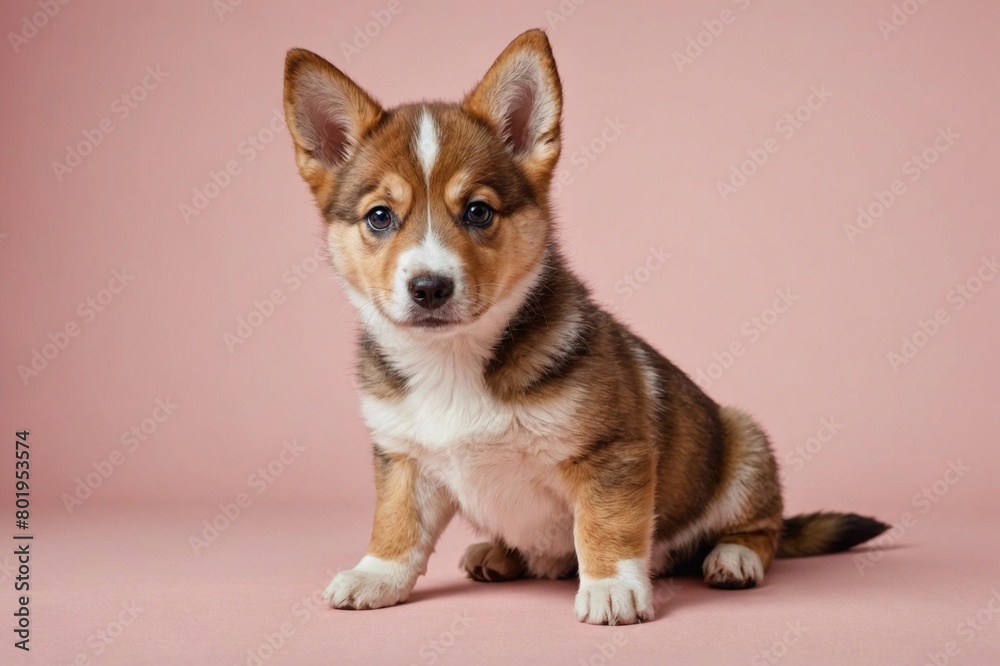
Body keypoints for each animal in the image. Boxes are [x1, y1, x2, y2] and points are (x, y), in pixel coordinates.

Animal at [284, 29, 892, 624]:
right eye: (379, 217)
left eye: (478, 211)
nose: (430, 287)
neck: (455, 361)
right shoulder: (403, 458)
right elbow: (396, 525)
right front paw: (375, 575)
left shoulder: (611, 453)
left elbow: (606, 526)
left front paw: (611, 589)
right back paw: (499, 554)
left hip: (744, 442)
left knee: (762, 530)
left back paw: (733, 558)